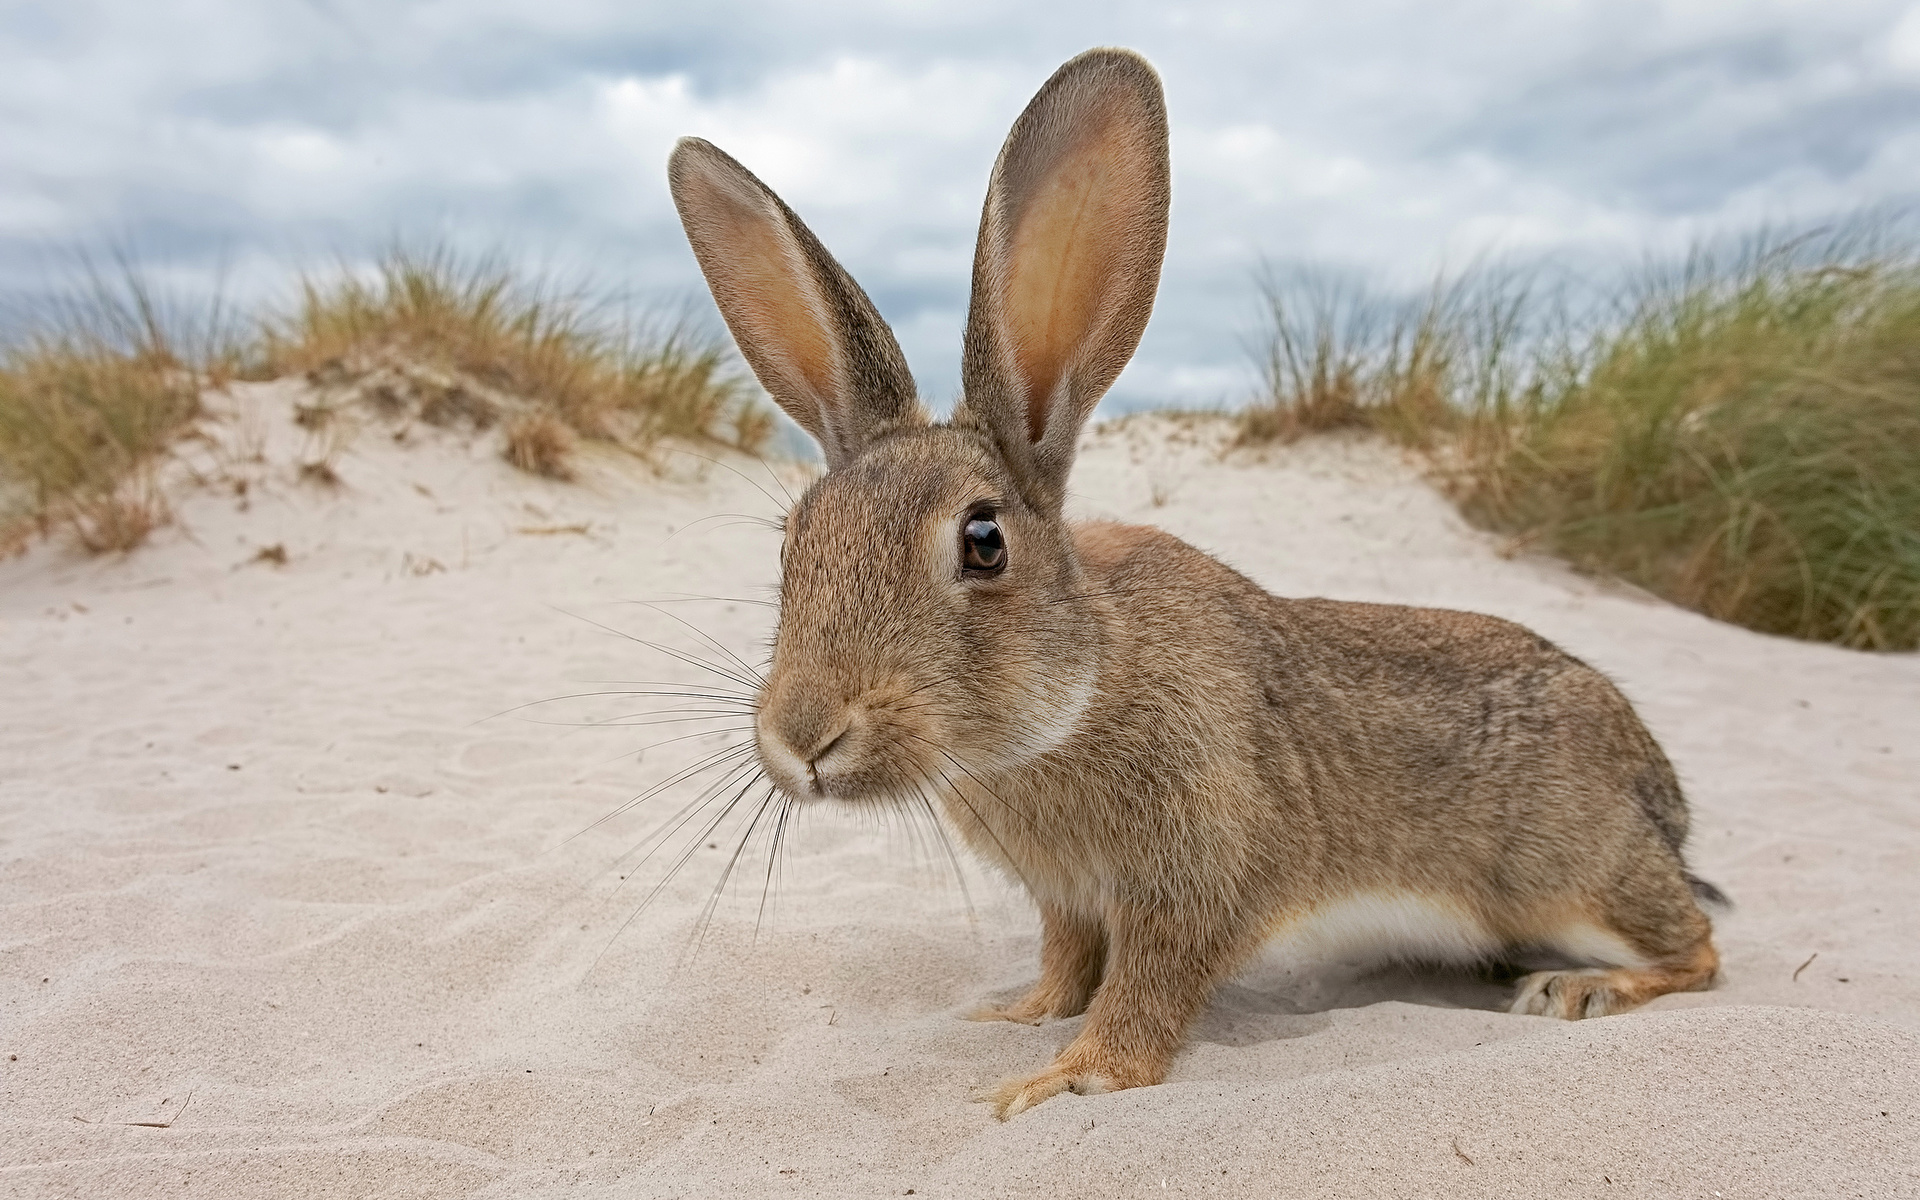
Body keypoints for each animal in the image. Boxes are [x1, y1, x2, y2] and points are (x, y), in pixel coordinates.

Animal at [668, 44, 1720, 1113]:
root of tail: (1659, 797)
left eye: (983, 541)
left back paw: (1578, 990)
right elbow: (1067, 964)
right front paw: (1016, 1017)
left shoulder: (1191, 881)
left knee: (1700, 947)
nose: (803, 738)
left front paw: (1065, 1080)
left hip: (1568, 875)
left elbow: (1147, 990)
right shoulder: (1070, 901)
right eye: (793, 542)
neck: (1079, 694)